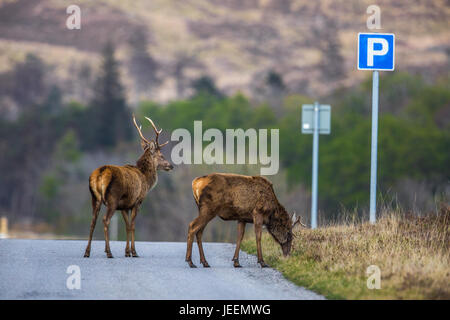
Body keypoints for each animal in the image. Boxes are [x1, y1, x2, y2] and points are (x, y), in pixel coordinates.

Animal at [82, 114, 172, 258]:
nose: (171, 166)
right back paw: (109, 252)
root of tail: (100, 173)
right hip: (112, 198)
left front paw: (127, 252)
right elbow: (133, 225)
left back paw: (87, 252)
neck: (146, 180)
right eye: (161, 155)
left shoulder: (124, 205)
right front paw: (134, 252)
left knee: (92, 222)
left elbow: (127, 226)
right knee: (105, 220)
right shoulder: (137, 201)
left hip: (95, 198)